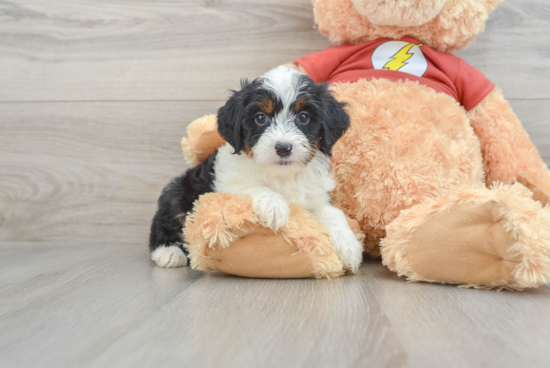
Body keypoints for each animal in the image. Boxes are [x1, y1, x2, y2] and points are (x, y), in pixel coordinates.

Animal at [151, 66, 366, 272]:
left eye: (303, 117)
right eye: (261, 118)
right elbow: (255, 188)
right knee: (165, 221)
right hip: (178, 192)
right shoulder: (227, 183)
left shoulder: (315, 196)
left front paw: (349, 246)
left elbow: (332, 213)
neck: (282, 175)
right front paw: (274, 207)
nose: (283, 148)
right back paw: (168, 252)